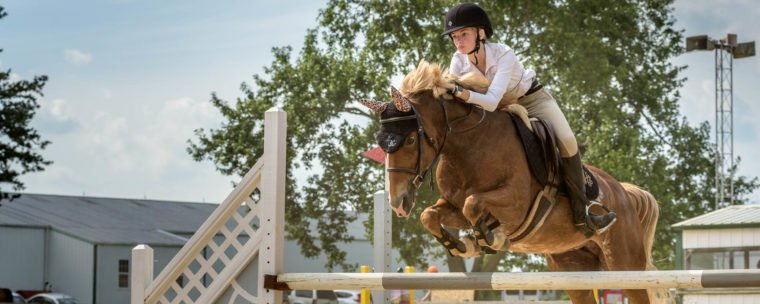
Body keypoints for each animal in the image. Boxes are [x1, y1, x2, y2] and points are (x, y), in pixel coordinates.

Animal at [360, 60, 664, 302]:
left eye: (411, 139)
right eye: (380, 143)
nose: (398, 204)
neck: (468, 147)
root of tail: (624, 192)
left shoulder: (516, 204)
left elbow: (474, 204)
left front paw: (492, 238)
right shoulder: (452, 206)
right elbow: (430, 215)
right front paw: (464, 245)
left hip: (625, 266)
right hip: (573, 268)